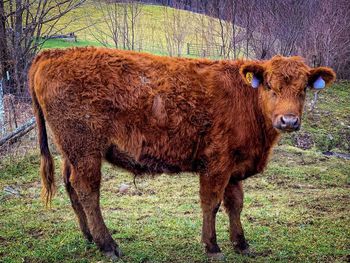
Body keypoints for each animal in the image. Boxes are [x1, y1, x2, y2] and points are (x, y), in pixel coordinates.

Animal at [29, 47, 336, 260]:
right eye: (270, 86)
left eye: (303, 89)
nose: (288, 121)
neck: (246, 100)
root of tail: (52, 53)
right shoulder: (216, 164)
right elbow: (211, 203)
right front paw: (212, 246)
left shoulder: (234, 167)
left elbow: (235, 203)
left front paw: (241, 243)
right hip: (85, 150)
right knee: (88, 191)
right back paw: (108, 245)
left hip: (72, 152)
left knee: (71, 186)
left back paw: (89, 237)